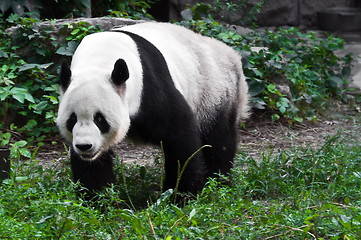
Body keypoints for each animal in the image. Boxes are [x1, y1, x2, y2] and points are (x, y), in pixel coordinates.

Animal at [56, 22, 249, 199]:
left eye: (99, 119)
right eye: (72, 119)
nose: (85, 146)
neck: (99, 60)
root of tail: (231, 55)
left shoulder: (150, 88)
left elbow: (180, 137)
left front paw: (179, 194)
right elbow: (91, 165)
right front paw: (97, 198)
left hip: (213, 90)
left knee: (218, 139)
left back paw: (218, 181)